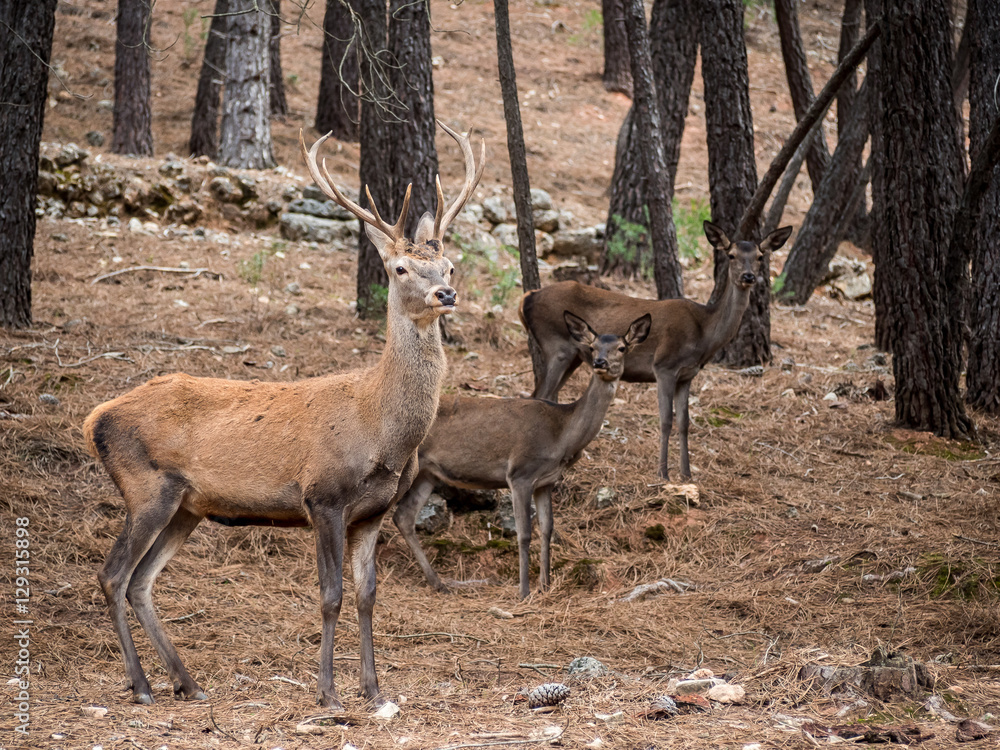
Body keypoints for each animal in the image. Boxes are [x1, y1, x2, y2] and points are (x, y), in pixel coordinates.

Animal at [81, 121, 485, 710]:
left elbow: (367, 595)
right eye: (400, 267)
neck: (383, 431)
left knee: (141, 581)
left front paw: (374, 690)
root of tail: (94, 418)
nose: (446, 292)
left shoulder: (372, 511)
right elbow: (330, 594)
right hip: (145, 486)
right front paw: (328, 693)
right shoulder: (323, 496)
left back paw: (188, 683)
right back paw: (142, 686)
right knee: (113, 575)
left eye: (451, 264)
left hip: (187, 505)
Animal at [392, 311, 651, 599]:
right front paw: (524, 590)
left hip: (427, 474)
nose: (600, 362)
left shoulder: (546, 481)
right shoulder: (520, 473)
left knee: (404, 516)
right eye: (592, 347)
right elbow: (524, 533)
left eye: (622, 347)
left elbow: (547, 529)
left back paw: (438, 583)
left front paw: (545, 585)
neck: (562, 435)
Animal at [519, 221, 792, 481]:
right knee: (538, 393)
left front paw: (687, 473)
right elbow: (666, 420)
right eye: (732, 255)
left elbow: (684, 422)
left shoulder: (687, 374)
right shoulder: (664, 366)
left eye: (760, 256)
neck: (704, 333)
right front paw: (663, 473)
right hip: (557, 346)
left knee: (549, 395)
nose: (748, 276)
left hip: (574, 356)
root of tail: (526, 298)